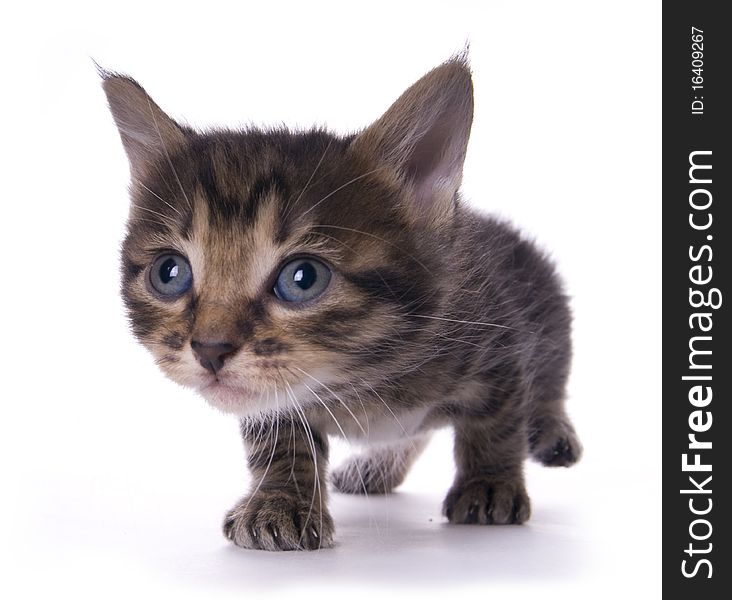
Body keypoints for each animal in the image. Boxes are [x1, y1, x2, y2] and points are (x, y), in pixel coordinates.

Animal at [104, 57, 584, 552]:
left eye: (302, 278)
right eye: (170, 273)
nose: (209, 349)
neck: (358, 383)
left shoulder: (498, 336)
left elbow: (497, 419)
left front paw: (489, 483)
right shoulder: (272, 397)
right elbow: (280, 438)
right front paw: (280, 501)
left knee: (550, 378)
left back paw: (551, 433)